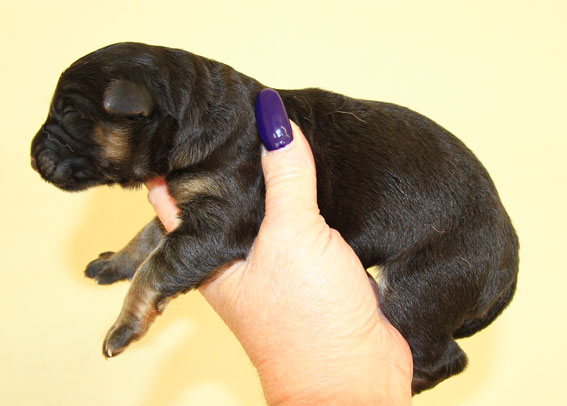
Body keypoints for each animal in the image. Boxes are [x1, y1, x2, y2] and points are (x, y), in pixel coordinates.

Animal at [30, 42, 519, 394]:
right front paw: (114, 263)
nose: (32, 157)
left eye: (70, 116)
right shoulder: (188, 208)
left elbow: (156, 267)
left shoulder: (221, 220)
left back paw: (410, 382)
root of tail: (508, 268)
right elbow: (147, 239)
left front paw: (124, 326)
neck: (199, 113)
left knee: (444, 357)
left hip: (425, 286)